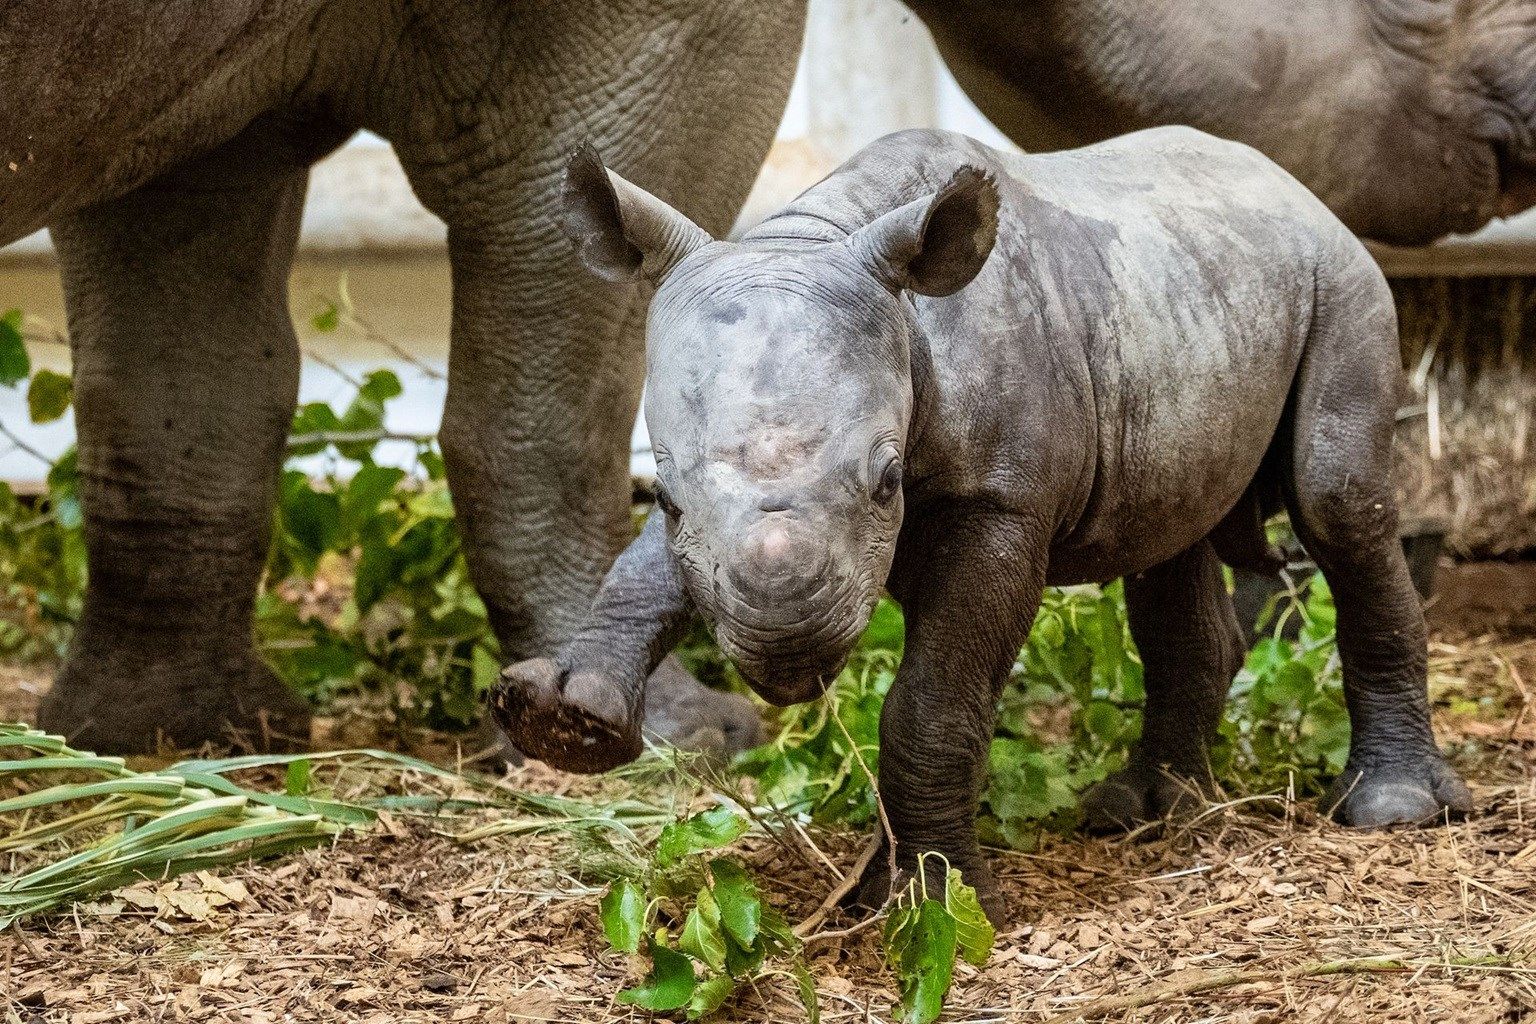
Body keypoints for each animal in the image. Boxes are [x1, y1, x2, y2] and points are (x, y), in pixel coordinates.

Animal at [494, 127, 1472, 921]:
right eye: (661, 494)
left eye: (888, 481)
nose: (787, 639)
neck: (816, 235)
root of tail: (1295, 184)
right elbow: (643, 572)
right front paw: (566, 721)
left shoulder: (1004, 503)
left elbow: (931, 703)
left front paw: (940, 906)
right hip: (1191, 296)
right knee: (1168, 536)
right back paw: (1146, 810)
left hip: (1343, 282)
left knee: (1336, 502)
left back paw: (1391, 810)